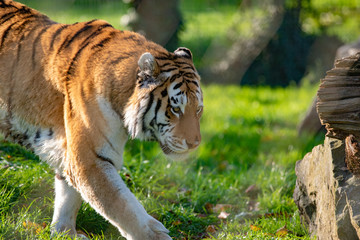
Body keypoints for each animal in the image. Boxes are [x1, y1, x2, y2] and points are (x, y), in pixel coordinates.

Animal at [0, 0, 202, 239]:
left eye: (198, 110)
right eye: (175, 109)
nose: (195, 143)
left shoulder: (71, 151)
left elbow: (68, 195)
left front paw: (64, 232)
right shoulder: (90, 160)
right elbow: (123, 205)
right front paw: (155, 235)